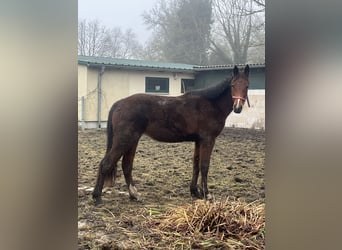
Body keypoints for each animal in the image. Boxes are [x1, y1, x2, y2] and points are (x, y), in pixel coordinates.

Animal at [92, 64, 250, 205]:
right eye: (233, 85)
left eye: (247, 86)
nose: (237, 107)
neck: (210, 104)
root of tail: (119, 103)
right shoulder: (207, 140)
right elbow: (204, 165)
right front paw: (207, 194)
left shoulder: (198, 141)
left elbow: (196, 165)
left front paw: (195, 192)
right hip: (124, 140)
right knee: (106, 163)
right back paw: (97, 197)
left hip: (132, 140)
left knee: (126, 165)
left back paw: (134, 195)